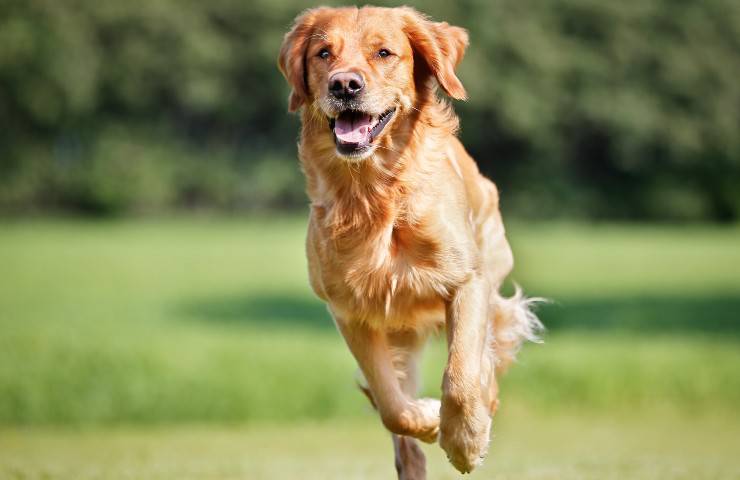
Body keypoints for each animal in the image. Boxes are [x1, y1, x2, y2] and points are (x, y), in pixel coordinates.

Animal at [280, 5, 540, 478]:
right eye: (323, 53)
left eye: (384, 53)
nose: (344, 85)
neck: (374, 193)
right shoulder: (350, 311)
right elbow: (391, 405)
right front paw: (427, 418)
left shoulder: (467, 282)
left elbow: (461, 377)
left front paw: (465, 440)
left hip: (491, 269)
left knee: (486, 360)